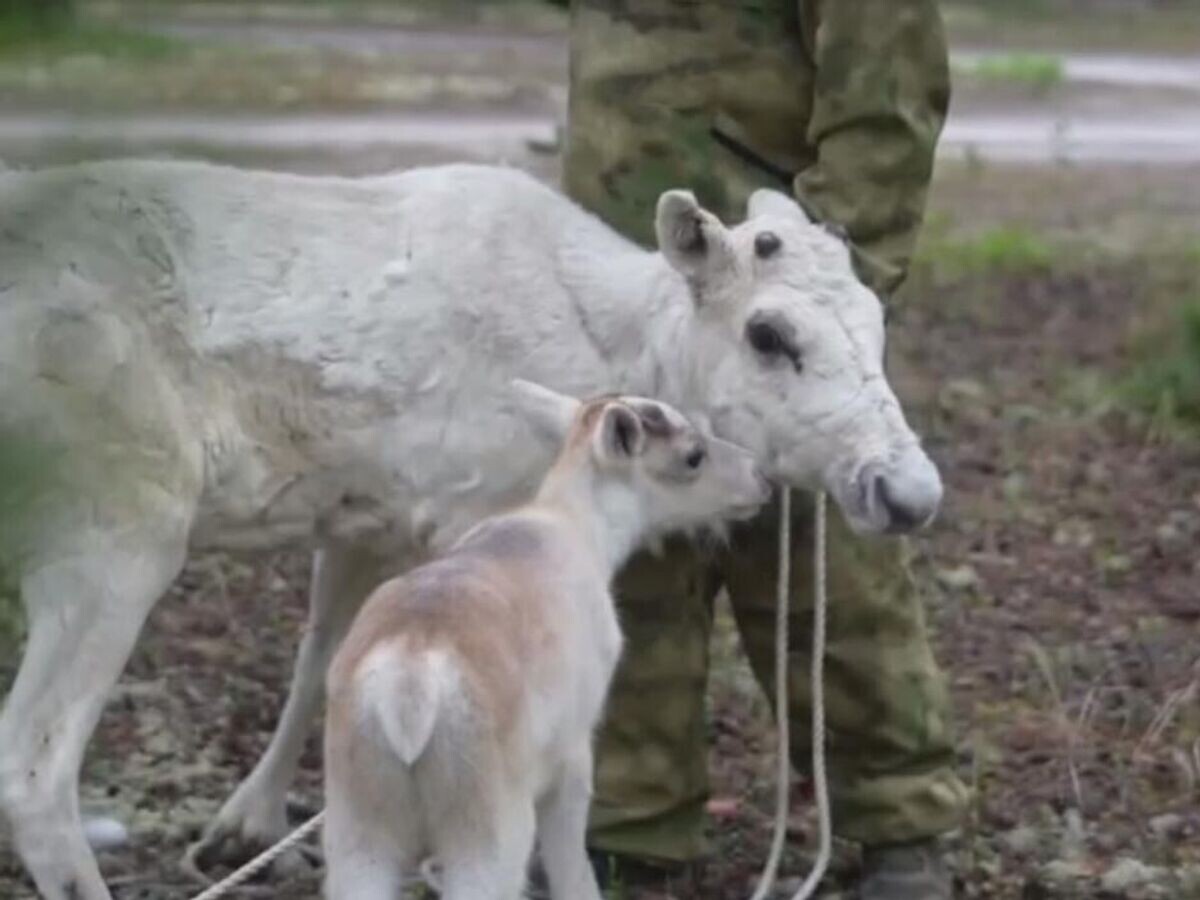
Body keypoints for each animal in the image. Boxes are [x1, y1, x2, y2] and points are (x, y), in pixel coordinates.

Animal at [321, 386, 768, 900]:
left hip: (358, 826)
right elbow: (570, 860)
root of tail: (406, 690)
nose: (761, 476)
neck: (573, 525)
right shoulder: (575, 749)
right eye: (693, 455)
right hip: (487, 826)